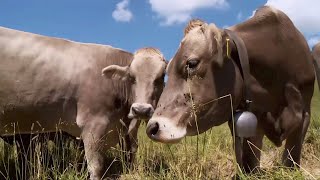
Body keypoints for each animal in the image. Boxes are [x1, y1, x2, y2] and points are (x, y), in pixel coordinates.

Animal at [146, 5, 320, 174]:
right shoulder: (251, 119)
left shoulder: (304, 111)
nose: (152, 127)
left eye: (192, 63)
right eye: (167, 70)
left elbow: (292, 151)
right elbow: (250, 158)